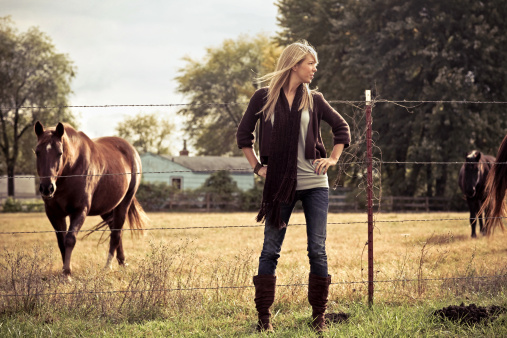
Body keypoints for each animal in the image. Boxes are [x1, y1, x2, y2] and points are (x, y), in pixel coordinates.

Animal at [34, 120, 147, 278]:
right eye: (37, 152)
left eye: (60, 153)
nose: (47, 188)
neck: (71, 170)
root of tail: (132, 151)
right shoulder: (54, 213)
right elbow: (61, 242)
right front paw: (64, 271)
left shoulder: (80, 211)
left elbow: (70, 239)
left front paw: (67, 273)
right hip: (107, 208)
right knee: (114, 230)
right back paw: (122, 262)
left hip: (123, 204)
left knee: (116, 233)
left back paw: (108, 266)